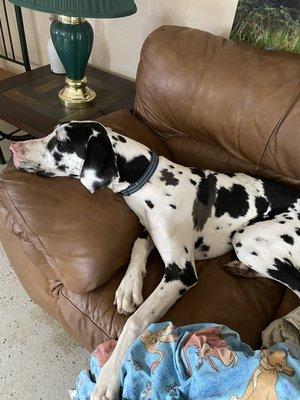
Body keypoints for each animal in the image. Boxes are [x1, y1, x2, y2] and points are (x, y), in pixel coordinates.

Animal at [9, 120, 300, 398]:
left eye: (60, 140)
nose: (13, 149)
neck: (149, 181)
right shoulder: (148, 228)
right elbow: (137, 245)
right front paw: (129, 287)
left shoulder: (181, 272)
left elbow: (134, 322)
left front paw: (108, 377)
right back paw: (243, 270)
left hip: (246, 238)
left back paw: (278, 325)